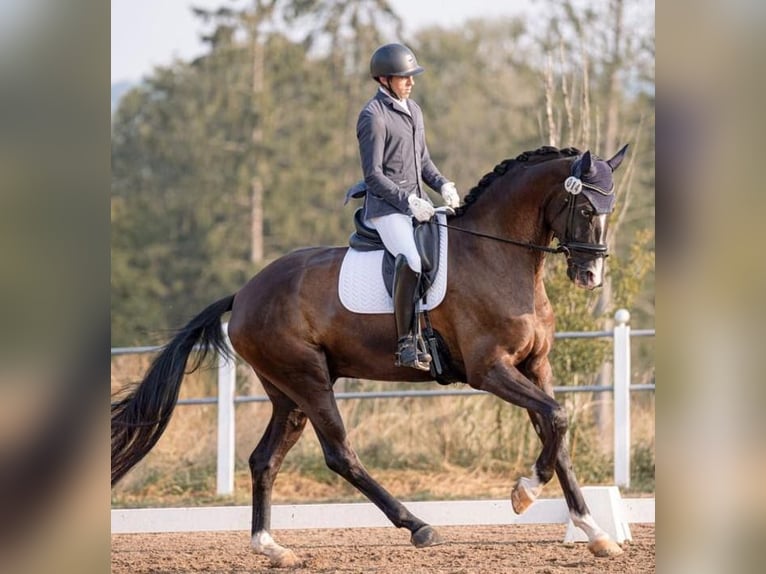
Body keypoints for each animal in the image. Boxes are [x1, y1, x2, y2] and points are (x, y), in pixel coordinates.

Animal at [112, 144, 630, 567]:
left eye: (610, 208)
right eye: (585, 206)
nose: (590, 276)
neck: (497, 256)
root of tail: (243, 294)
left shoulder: (534, 366)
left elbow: (557, 434)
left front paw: (594, 531)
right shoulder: (491, 370)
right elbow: (558, 419)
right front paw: (524, 493)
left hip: (287, 392)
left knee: (265, 459)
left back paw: (271, 547)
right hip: (308, 380)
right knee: (340, 454)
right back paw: (418, 527)